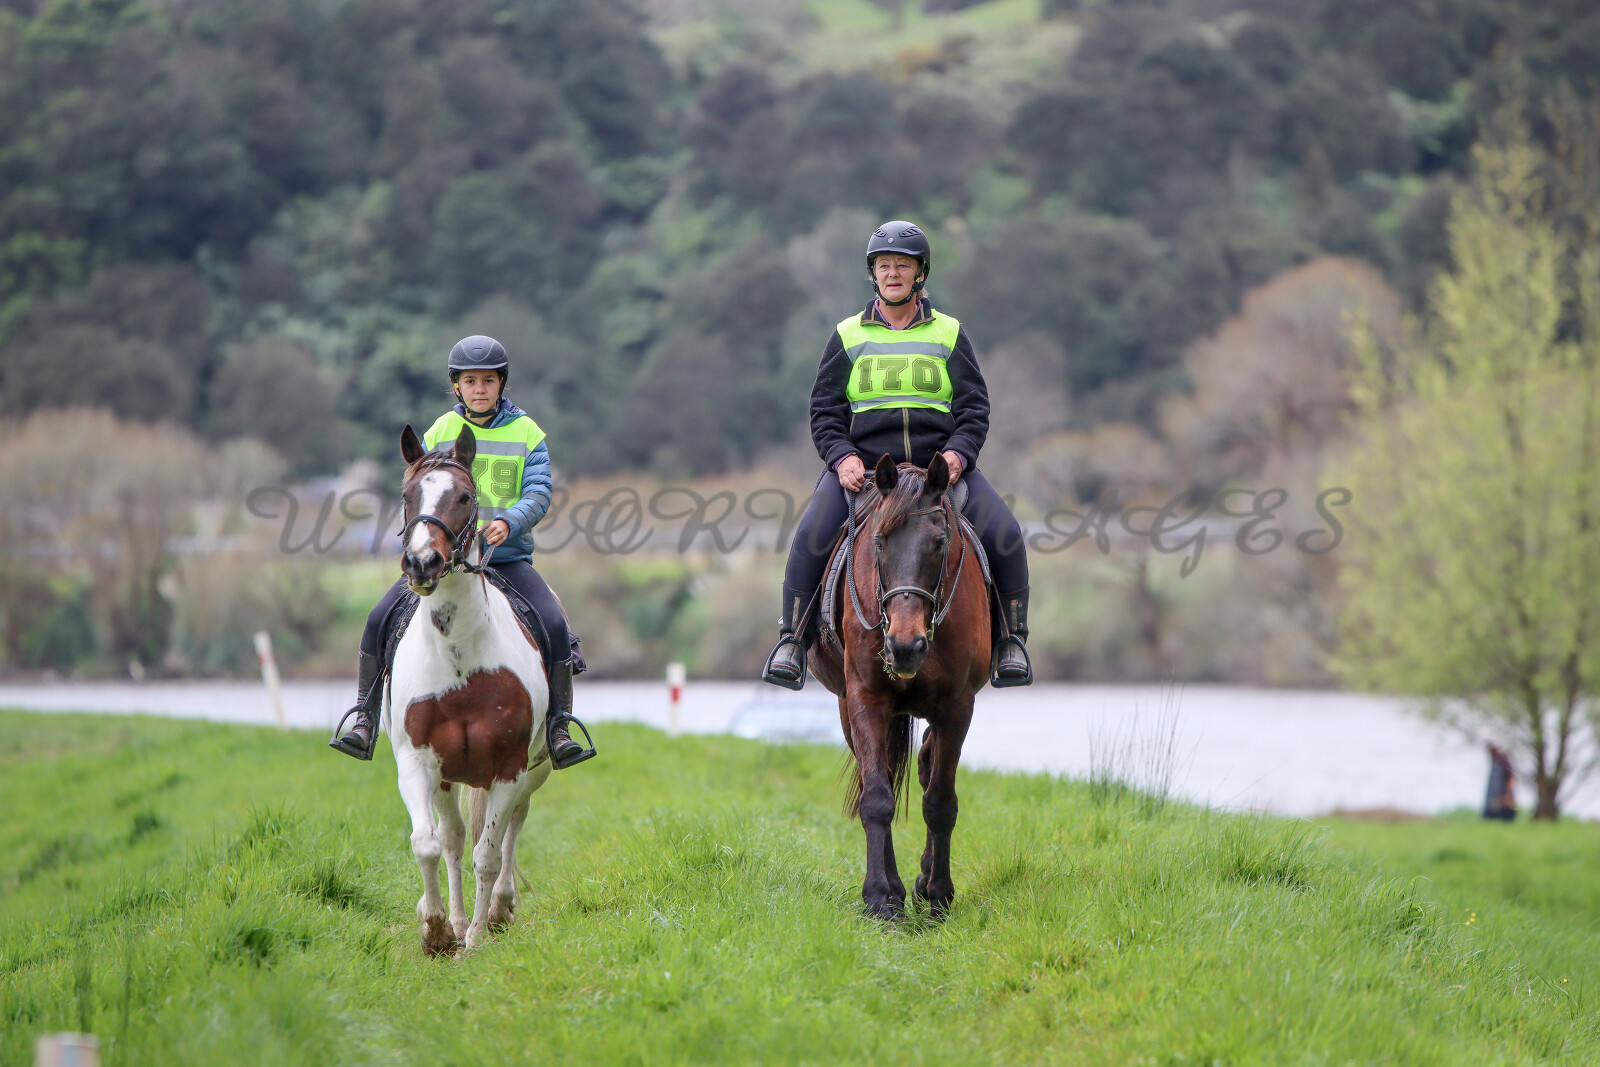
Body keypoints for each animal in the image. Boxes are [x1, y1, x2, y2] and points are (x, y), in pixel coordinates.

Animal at [386, 422, 553, 955]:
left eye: (464, 496)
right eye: (407, 495)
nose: (422, 563)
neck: (458, 656)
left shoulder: (510, 766)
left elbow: (489, 853)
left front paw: (478, 935)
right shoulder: (418, 762)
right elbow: (430, 843)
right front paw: (438, 929)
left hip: (534, 771)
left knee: (512, 827)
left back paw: (497, 910)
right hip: (447, 777)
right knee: (453, 837)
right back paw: (455, 920)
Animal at [809, 453, 991, 920]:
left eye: (940, 543)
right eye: (878, 543)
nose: (905, 646)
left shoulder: (957, 705)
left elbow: (940, 802)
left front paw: (940, 895)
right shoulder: (865, 698)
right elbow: (877, 797)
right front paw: (881, 897)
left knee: (927, 768)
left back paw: (925, 881)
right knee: (884, 777)